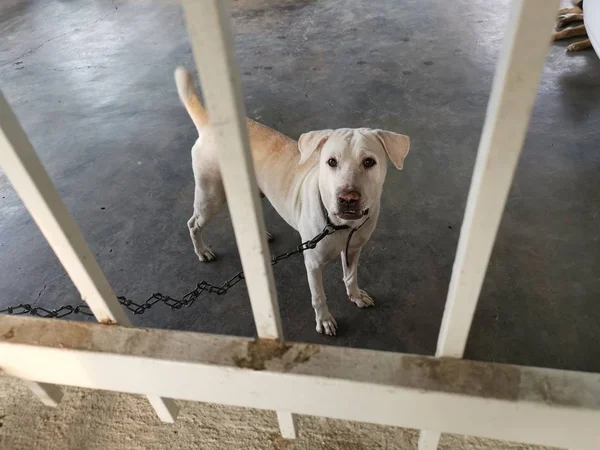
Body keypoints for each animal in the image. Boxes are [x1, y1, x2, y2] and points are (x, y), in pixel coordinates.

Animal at [173, 67, 408, 334]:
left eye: (369, 162)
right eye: (331, 162)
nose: (347, 199)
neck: (340, 226)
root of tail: (210, 125)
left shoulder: (354, 250)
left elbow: (350, 276)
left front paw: (355, 296)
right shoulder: (313, 263)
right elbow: (318, 296)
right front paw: (324, 320)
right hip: (210, 195)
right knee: (193, 223)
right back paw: (202, 251)